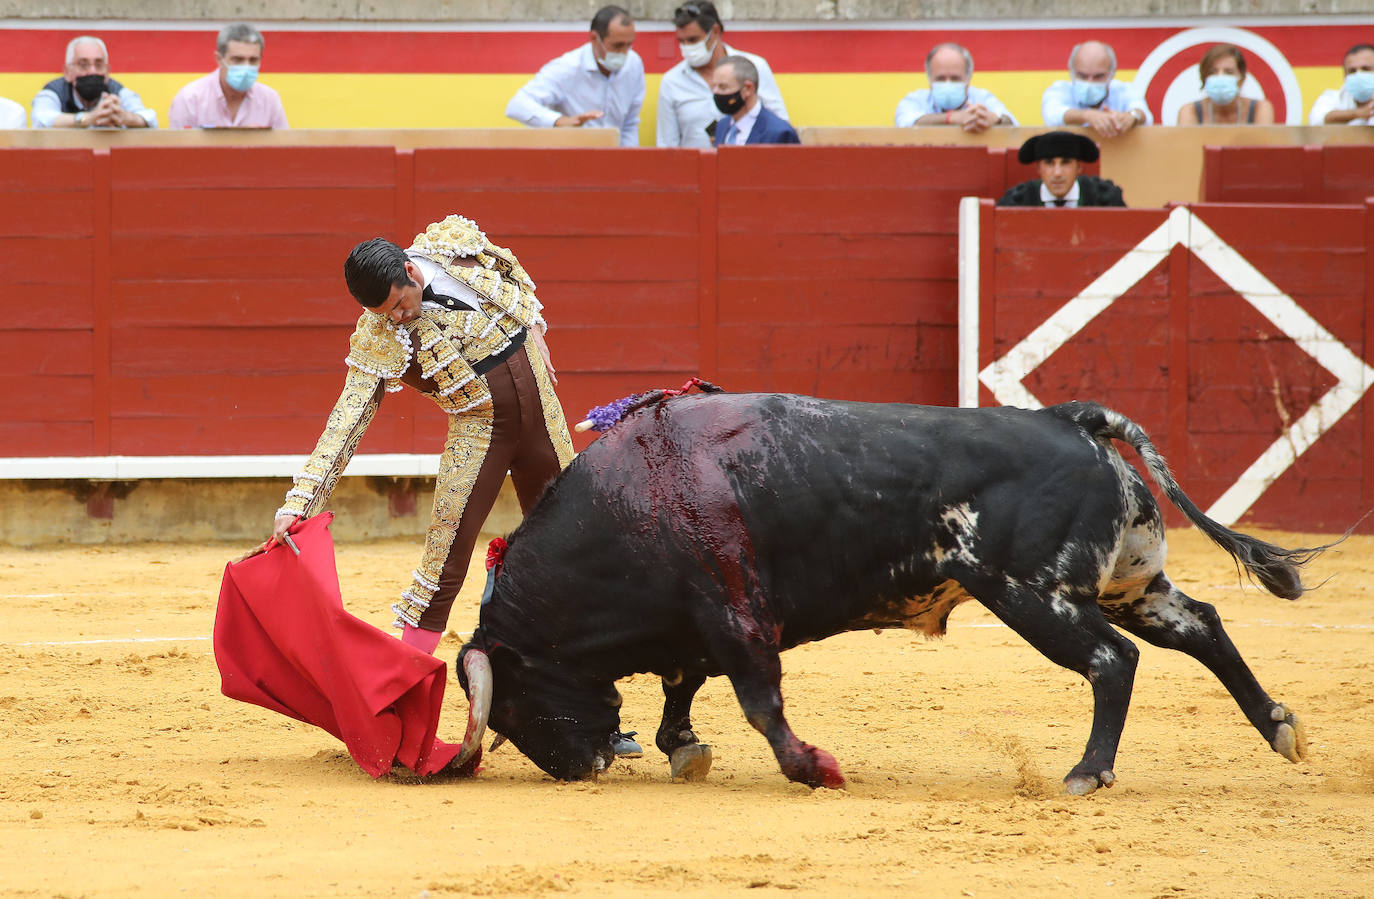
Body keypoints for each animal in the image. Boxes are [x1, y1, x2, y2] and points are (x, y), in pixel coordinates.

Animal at [450, 395, 1330, 797]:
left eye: (513, 701)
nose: (581, 766)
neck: (639, 493)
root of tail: (1070, 418)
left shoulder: (735, 611)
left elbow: (757, 698)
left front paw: (814, 767)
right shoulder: (698, 618)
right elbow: (683, 681)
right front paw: (684, 747)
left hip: (1030, 594)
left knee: (1113, 661)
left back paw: (1086, 771)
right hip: (1130, 580)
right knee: (1203, 626)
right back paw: (1280, 726)